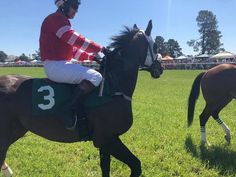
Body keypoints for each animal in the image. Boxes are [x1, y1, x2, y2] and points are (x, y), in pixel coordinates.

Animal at [0, 19, 163, 177]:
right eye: (155, 46)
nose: (160, 69)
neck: (113, 86)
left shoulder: (105, 142)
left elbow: (105, 168)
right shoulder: (107, 138)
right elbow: (136, 165)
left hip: (16, 131)